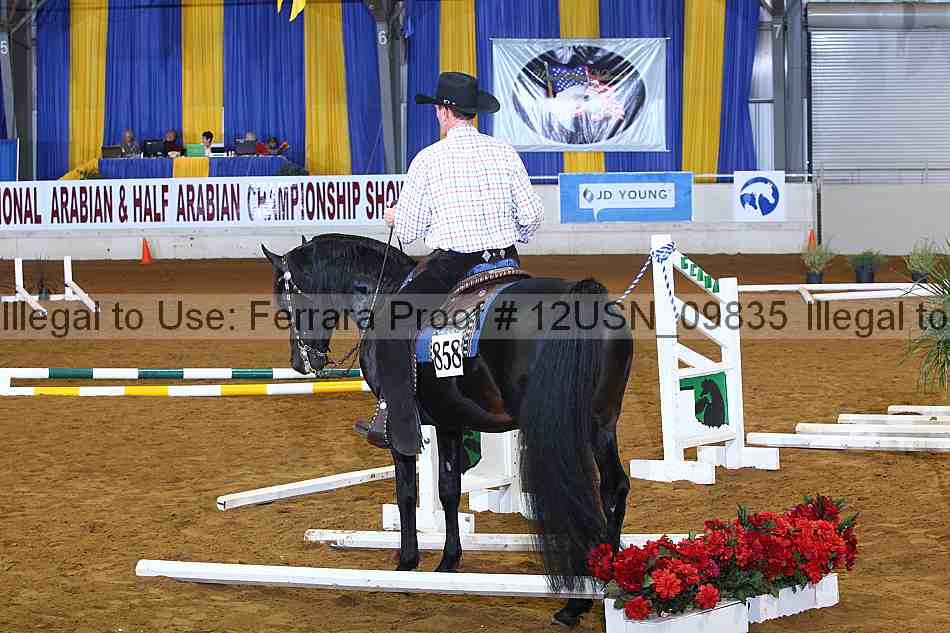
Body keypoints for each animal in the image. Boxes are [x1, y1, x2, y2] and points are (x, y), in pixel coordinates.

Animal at [262, 234, 633, 627]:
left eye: (286, 304)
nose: (300, 363)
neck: (384, 292)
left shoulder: (403, 427)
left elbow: (407, 492)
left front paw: (407, 563)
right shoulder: (451, 421)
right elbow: (449, 489)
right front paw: (448, 561)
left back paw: (575, 602)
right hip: (600, 421)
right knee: (612, 489)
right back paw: (603, 583)